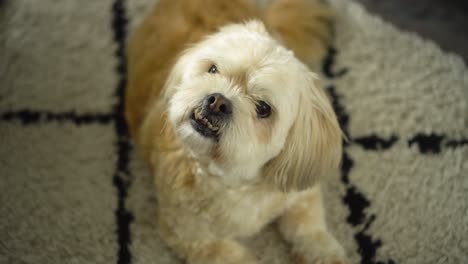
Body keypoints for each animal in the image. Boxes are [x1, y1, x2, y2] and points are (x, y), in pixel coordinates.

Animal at [124, 0, 348, 264]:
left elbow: (309, 229)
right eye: (213, 69)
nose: (217, 101)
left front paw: (327, 253)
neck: (234, 181)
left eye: (263, 108)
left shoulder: (298, 192)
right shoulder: (192, 236)